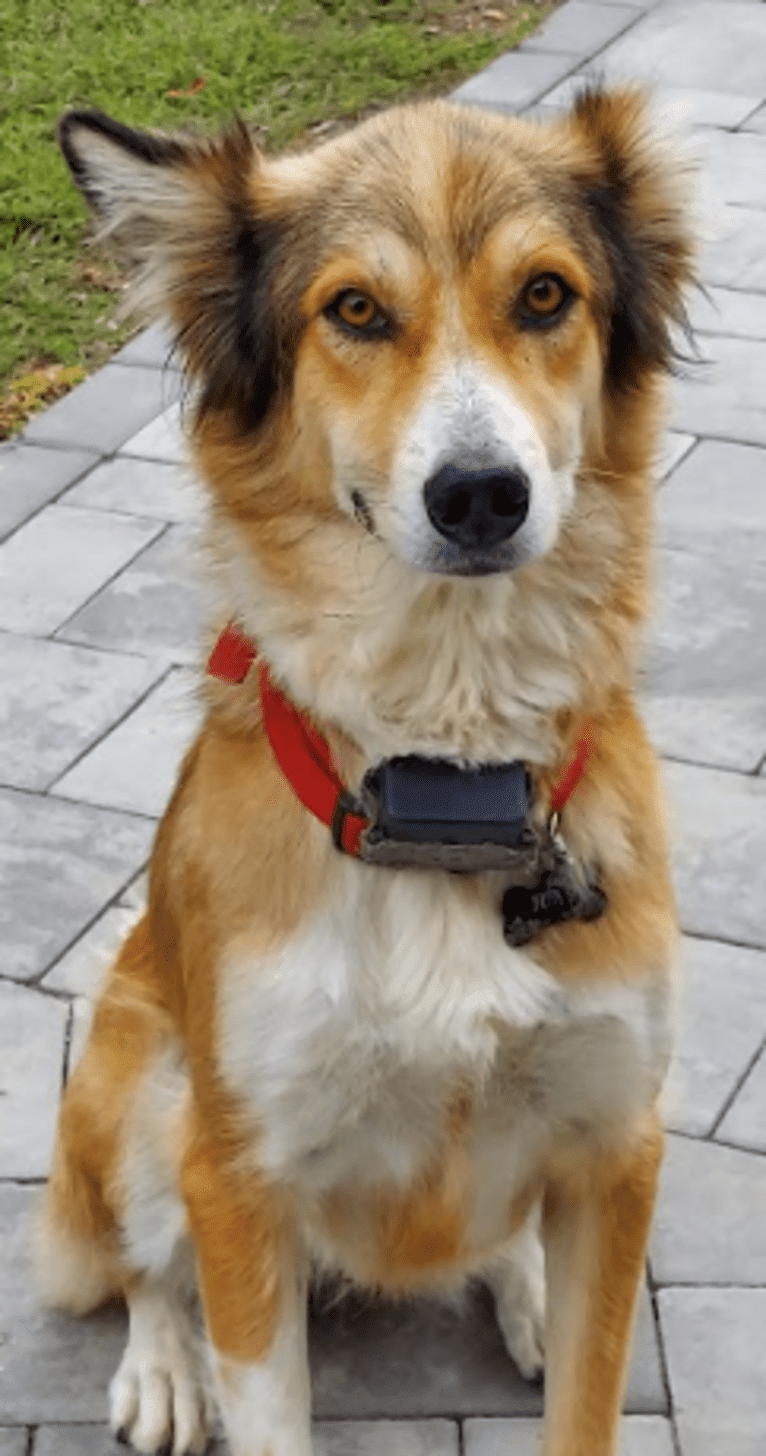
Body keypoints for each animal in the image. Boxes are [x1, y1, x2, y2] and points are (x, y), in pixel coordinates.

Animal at [38, 88, 696, 1456]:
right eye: (352, 310)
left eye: (545, 294)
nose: (481, 494)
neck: (446, 773)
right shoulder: (238, 1173)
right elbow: (256, 1389)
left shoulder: (620, 1144)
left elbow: (590, 1402)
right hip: (138, 1089)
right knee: (138, 1266)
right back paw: (163, 1368)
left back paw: (527, 1288)